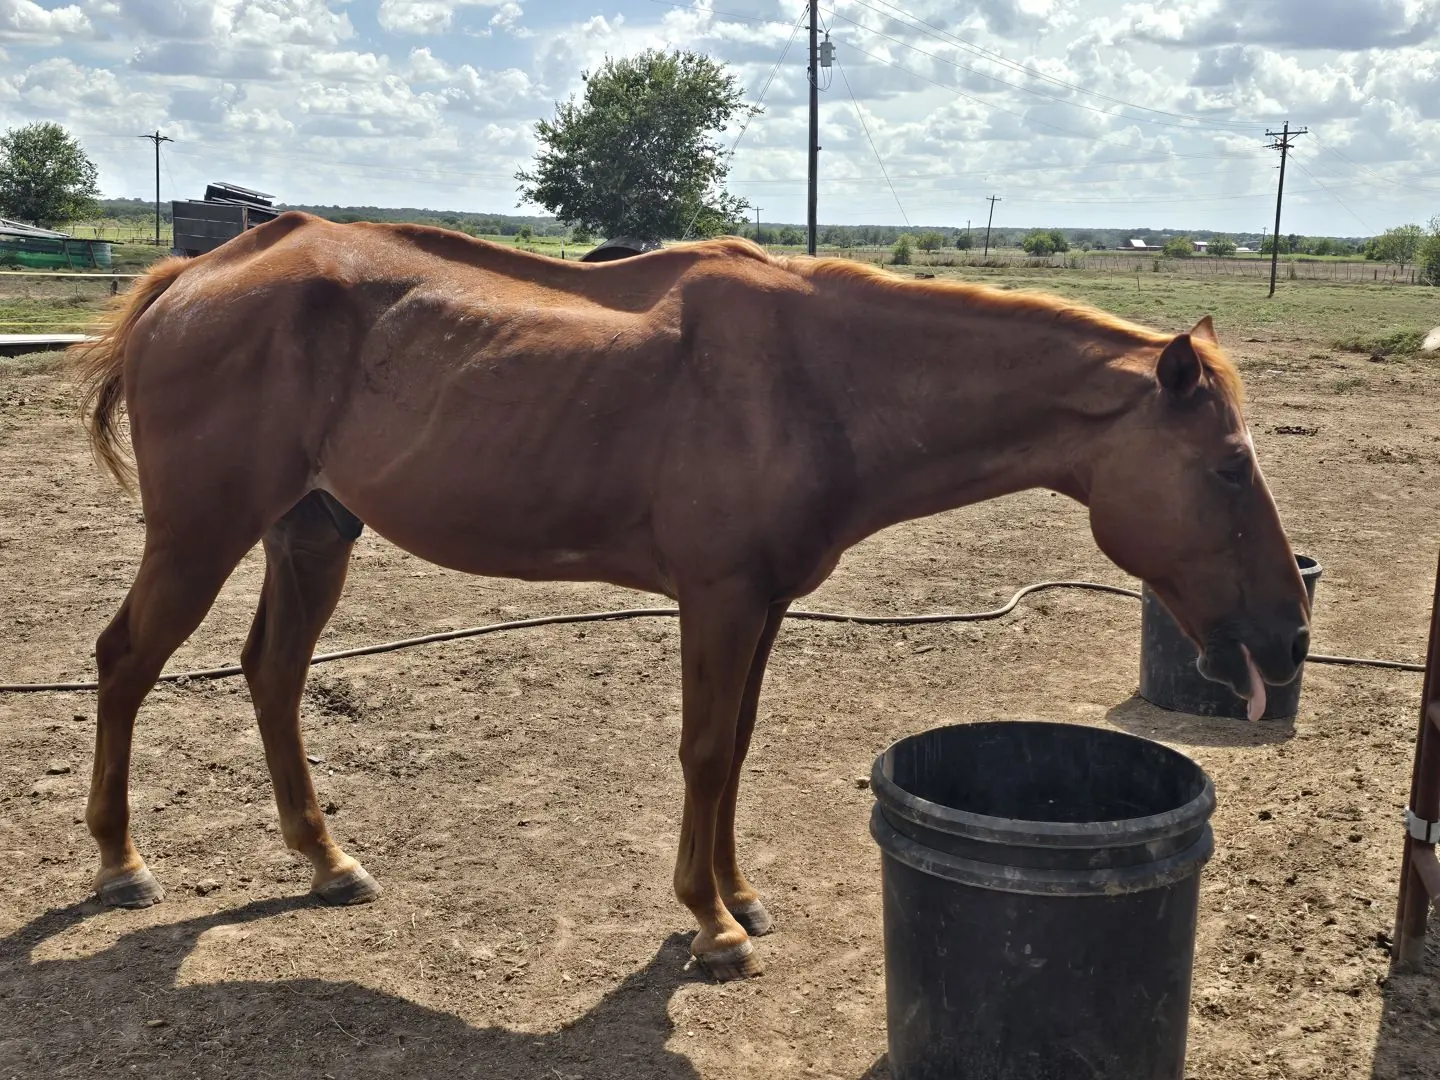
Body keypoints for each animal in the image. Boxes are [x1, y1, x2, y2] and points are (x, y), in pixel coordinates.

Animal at [69, 213, 1310, 980]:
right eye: (1228, 468)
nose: (1290, 637)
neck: (823, 380)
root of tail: (194, 277)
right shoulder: (716, 598)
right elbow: (707, 752)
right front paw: (712, 926)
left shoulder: (761, 604)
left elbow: (738, 748)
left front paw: (736, 894)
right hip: (202, 532)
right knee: (124, 661)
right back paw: (121, 863)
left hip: (311, 530)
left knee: (273, 673)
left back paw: (326, 862)